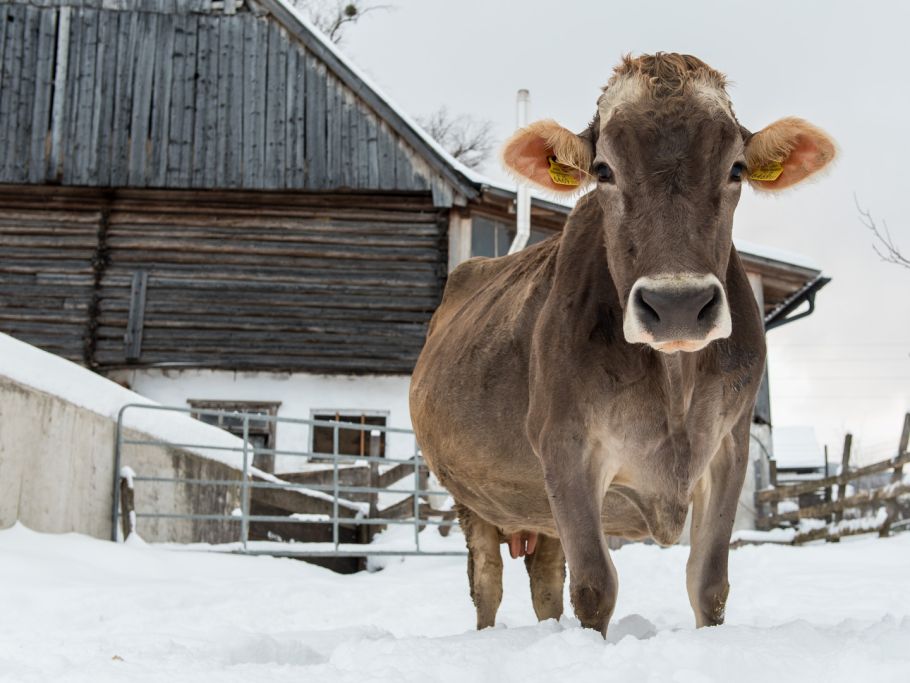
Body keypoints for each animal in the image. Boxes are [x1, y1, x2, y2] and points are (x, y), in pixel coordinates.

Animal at [409, 53, 835, 636]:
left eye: (736, 169)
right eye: (604, 170)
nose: (678, 305)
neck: (674, 384)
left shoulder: (729, 447)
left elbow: (709, 583)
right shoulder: (565, 443)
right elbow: (594, 587)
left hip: (537, 511)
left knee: (545, 580)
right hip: (470, 498)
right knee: (487, 583)